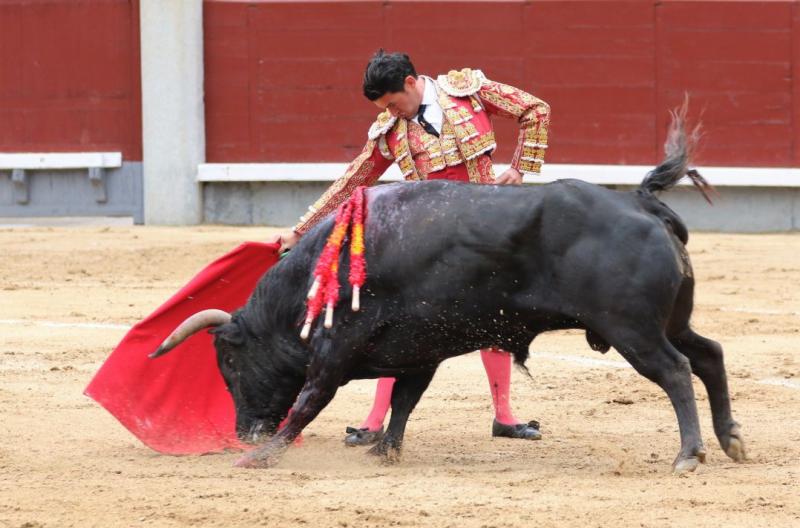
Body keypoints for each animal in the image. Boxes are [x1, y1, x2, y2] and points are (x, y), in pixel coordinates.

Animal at [153, 109, 748, 472]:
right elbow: (403, 400)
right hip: (668, 321)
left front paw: (263, 458)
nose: (244, 433)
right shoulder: (419, 350)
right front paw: (384, 451)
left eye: (228, 364)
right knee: (710, 354)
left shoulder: (335, 348)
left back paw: (689, 454)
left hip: (632, 329)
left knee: (676, 370)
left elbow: (309, 401)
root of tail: (640, 200)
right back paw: (731, 440)